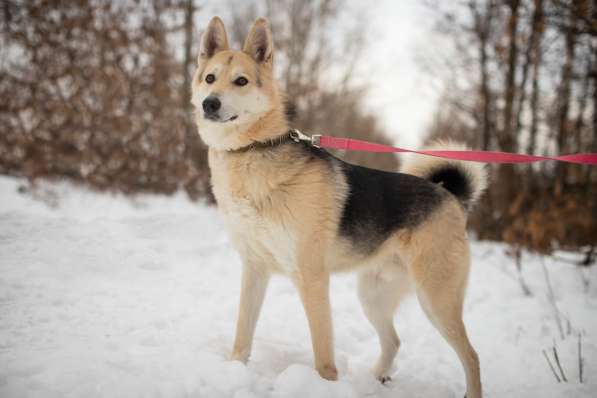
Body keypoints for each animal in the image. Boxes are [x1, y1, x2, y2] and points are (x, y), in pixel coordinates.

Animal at [193, 16, 486, 398]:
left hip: (436, 299)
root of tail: (450, 196)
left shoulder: (312, 277)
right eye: (210, 78)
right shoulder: (254, 268)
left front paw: (324, 385)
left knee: (472, 356)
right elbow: (243, 334)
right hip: (373, 295)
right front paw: (234, 373)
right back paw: (375, 378)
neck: (252, 151)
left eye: (240, 81)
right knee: (394, 341)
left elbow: (323, 353)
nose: (209, 104)